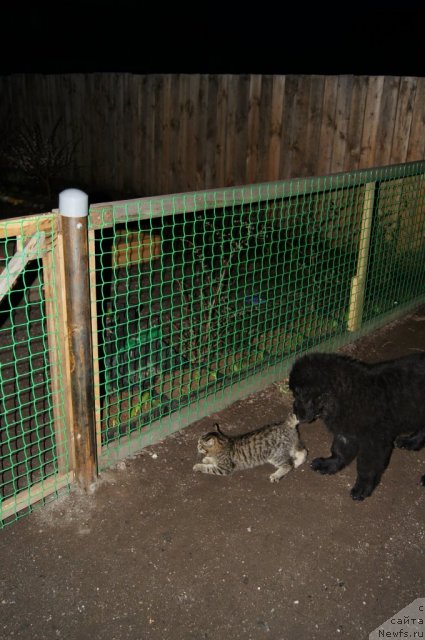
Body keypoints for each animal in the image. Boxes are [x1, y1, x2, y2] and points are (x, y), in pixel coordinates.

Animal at [288, 350, 424, 500]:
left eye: (298, 395)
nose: (295, 414)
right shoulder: (346, 433)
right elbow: (339, 451)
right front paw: (329, 464)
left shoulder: (374, 442)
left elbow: (367, 467)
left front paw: (363, 488)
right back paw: (411, 442)